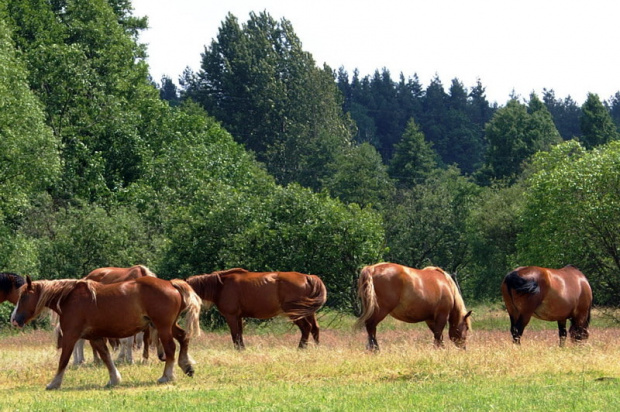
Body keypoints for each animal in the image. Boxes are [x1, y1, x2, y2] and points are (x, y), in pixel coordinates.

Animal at [10, 276, 201, 390]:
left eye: (23, 297)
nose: (14, 320)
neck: (69, 299)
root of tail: (170, 283)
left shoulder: (71, 336)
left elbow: (63, 360)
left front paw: (54, 383)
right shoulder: (94, 337)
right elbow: (106, 357)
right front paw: (114, 379)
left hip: (163, 327)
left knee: (170, 349)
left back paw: (167, 376)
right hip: (169, 326)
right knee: (184, 337)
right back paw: (187, 366)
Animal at [185, 268, 326, 350]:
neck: (221, 286)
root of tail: (307, 277)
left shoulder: (231, 316)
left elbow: (235, 334)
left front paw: (238, 350)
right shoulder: (239, 317)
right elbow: (239, 334)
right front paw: (242, 350)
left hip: (295, 313)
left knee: (306, 328)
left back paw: (301, 348)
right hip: (308, 312)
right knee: (315, 328)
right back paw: (317, 348)